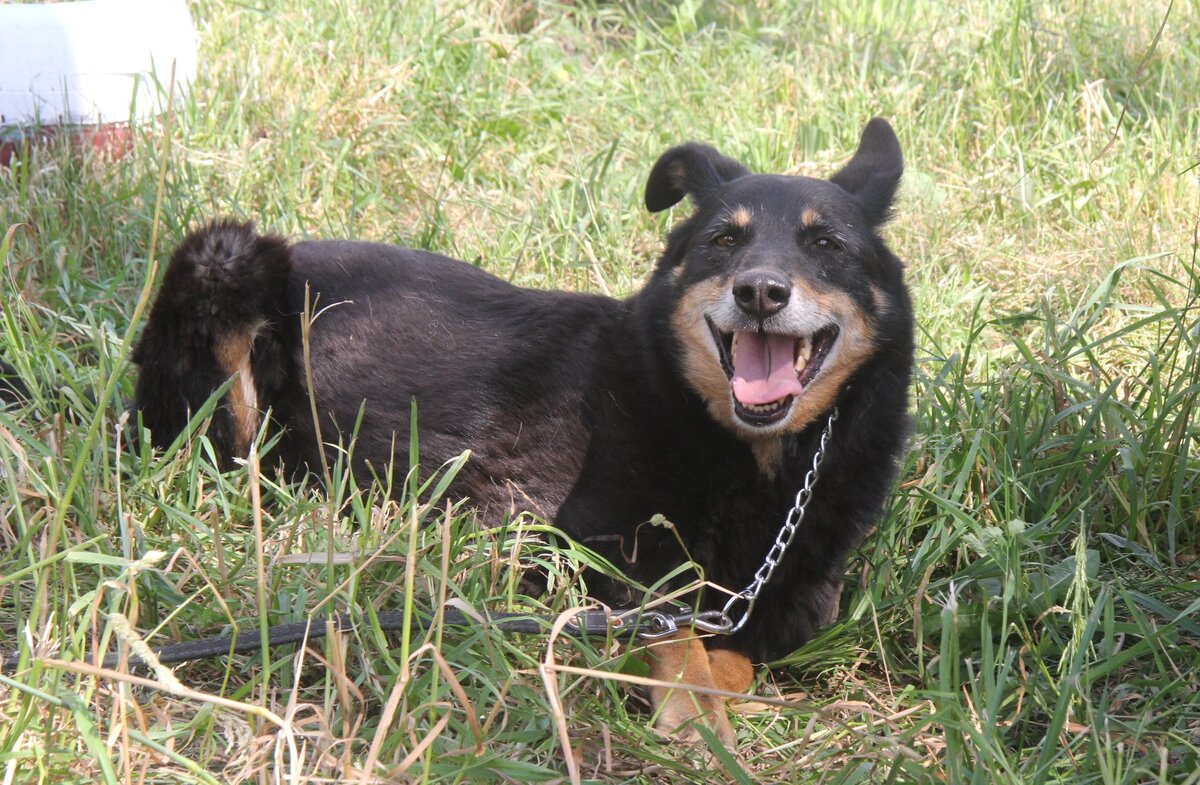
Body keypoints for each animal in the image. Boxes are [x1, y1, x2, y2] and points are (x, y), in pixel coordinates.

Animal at [131, 120, 912, 748]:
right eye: (725, 240)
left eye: (826, 244)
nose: (760, 291)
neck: (745, 453)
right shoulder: (565, 546)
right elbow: (674, 626)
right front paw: (691, 708)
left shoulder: (780, 603)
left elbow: (737, 655)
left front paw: (714, 689)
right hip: (225, 259)